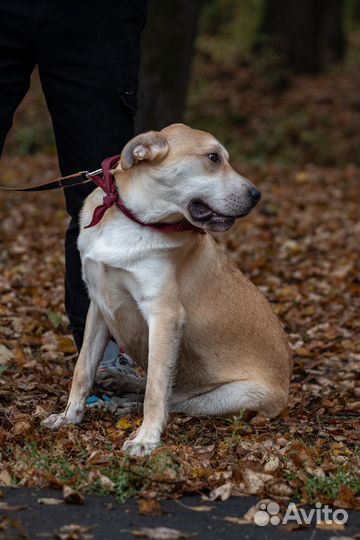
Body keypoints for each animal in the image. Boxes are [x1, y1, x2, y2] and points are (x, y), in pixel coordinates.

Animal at [43, 123, 294, 456]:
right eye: (213, 157)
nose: (257, 195)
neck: (134, 221)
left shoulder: (164, 315)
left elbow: (156, 390)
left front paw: (146, 438)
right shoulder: (98, 305)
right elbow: (82, 369)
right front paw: (69, 416)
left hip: (236, 395)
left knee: (177, 401)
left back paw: (126, 404)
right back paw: (121, 387)